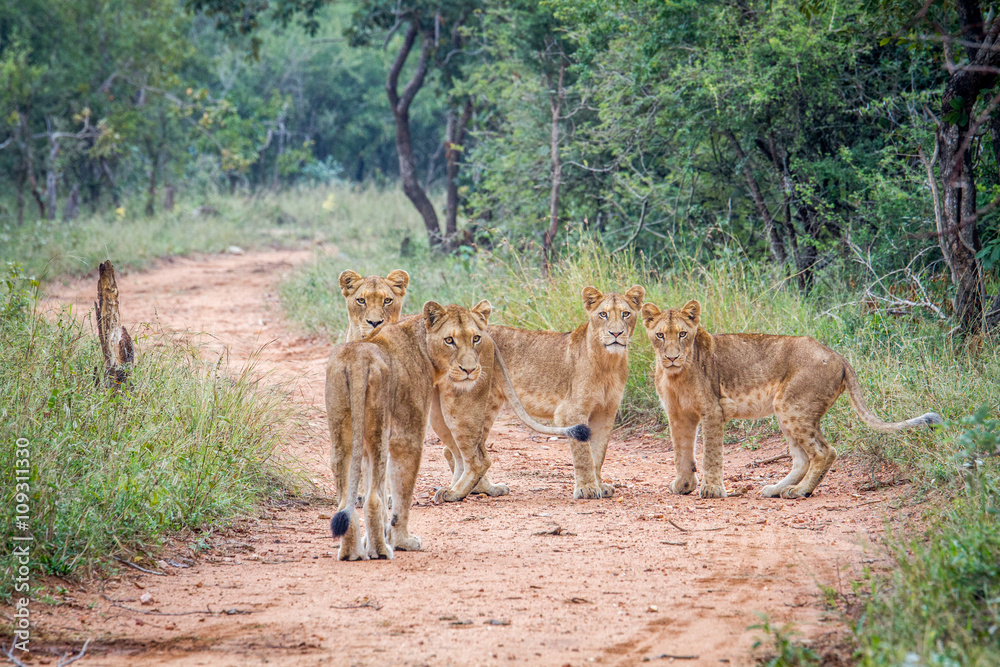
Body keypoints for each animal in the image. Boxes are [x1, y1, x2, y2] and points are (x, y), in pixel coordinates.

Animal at [433, 285, 646, 501]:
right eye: (603, 314)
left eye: (626, 314)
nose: (616, 333)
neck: (609, 362)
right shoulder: (571, 412)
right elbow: (584, 453)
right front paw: (587, 488)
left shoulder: (606, 412)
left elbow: (599, 452)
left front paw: (600, 485)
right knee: (467, 453)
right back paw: (467, 490)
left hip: (489, 406)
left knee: (458, 451)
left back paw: (483, 489)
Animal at [640, 299, 943, 499]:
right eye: (660, 335)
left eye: (683, 334)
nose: (671, 357)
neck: (675, 375)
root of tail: (838, 356)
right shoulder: (677, 415)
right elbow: (681, 452)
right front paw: (683, 485)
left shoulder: (713, 411)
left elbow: (710, 454)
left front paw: (712, 490)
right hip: (788, 411)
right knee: (802, 459)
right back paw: (777, 489)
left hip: (792, 406)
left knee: (824, 452)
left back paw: (799, 491)